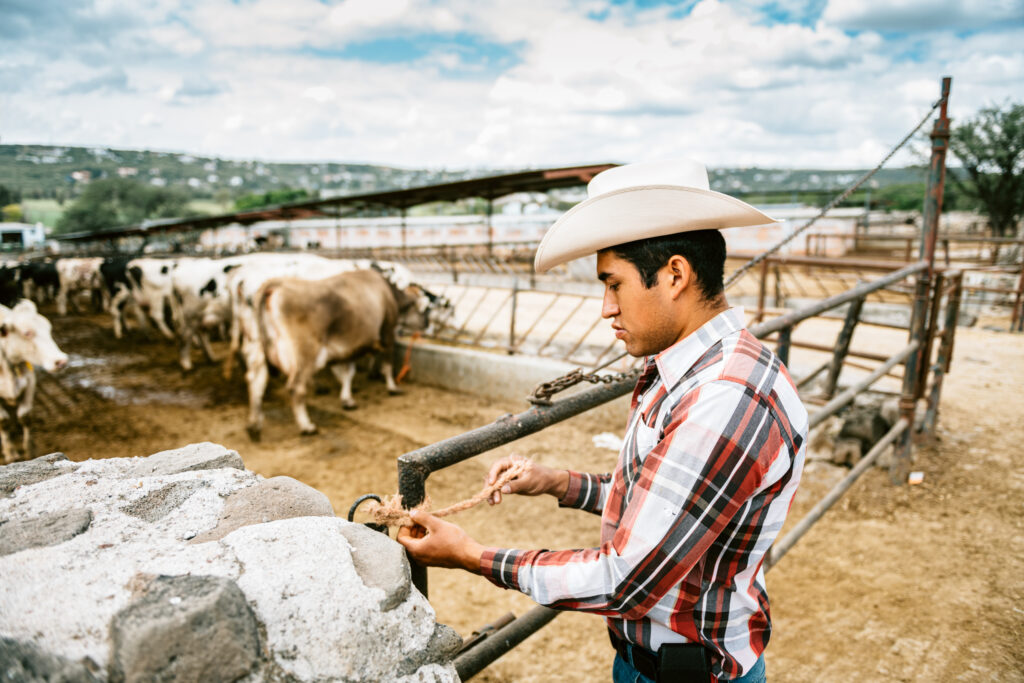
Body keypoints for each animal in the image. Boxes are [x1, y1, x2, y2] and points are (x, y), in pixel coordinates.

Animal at [0, 301, 69, 464]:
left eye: (49, 329)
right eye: (27, 333)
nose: (61, 361)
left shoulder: (30, 382)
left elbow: (24, 416)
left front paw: (30, 451)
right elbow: (3, 421)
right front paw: (10, 453)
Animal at [248, 266, 432, 438]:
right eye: (421, 308)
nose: (426, 323)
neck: (387, 292)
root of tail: (277, 283)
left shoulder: (350, 344)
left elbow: (347, 372)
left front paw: (347, 399)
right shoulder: (387, 331)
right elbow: (386, 363)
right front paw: (392, 387)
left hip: (262, 346)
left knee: (256, 379)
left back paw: (255, 426)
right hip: (305, 350)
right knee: (296, 387)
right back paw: (307, 426)